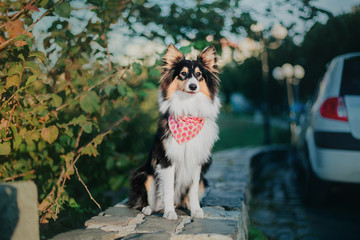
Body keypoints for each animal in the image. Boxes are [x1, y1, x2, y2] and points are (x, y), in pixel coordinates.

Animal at [128, 42, 221, 219]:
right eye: (183, 74)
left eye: (199, 75)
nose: (193, 86)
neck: (189, 110)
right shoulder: (166, 161)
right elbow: (168, 189)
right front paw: (169, 213)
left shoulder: (196, 161)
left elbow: (192, 190)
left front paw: (195, 210)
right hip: (144, 174)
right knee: (150, 200)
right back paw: (150, 209)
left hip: (203, 182)